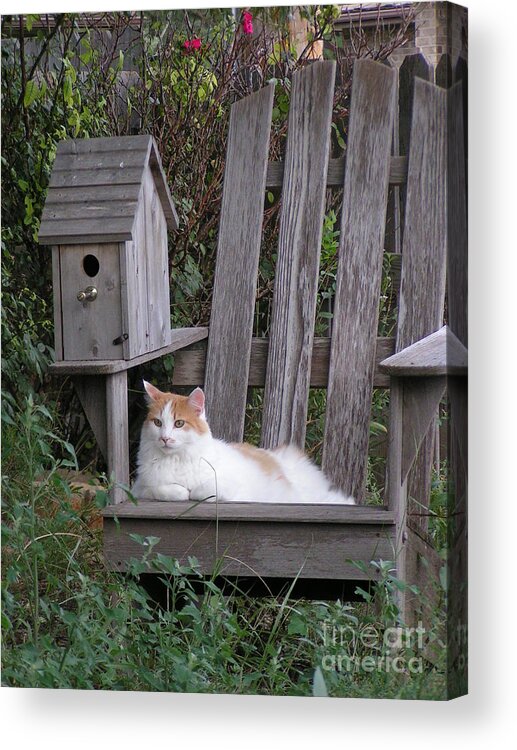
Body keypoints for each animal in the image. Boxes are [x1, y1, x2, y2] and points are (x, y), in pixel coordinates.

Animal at [131, 382, 354, 506]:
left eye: (179, 424)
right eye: (158, 423)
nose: (165, 438)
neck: (176, 460)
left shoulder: (227, 485)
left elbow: (202, 491)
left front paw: (191, 492)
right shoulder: (140, 488)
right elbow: (165, 490)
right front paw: (181, 492)